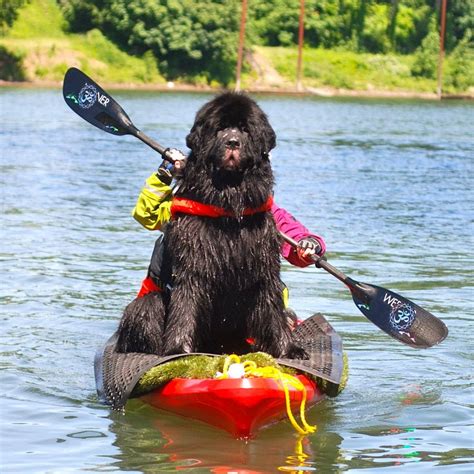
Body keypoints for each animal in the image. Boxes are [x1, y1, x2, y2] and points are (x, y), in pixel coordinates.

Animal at [116, 92, 306, 360]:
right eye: (220, 129)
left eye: (245, 129)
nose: (233, 142)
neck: (228, 207)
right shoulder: (193, 266)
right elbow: (185, 306)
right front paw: (178, 350)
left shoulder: (263, 265)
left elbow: (273, 309)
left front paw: (289, 349)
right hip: (147, 303)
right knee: (148, 307)